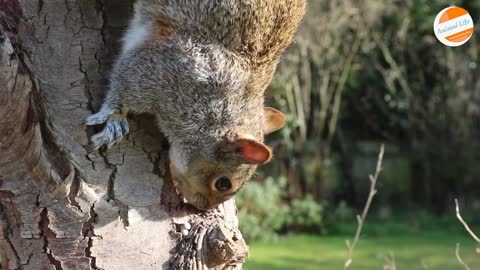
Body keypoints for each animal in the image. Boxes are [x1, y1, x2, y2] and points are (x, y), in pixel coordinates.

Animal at [84, 0, 306, 211]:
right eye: (223, 183)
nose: (203, 209)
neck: (216, 109)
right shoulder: (163, 70)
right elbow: (123, 88)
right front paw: (114, 120)